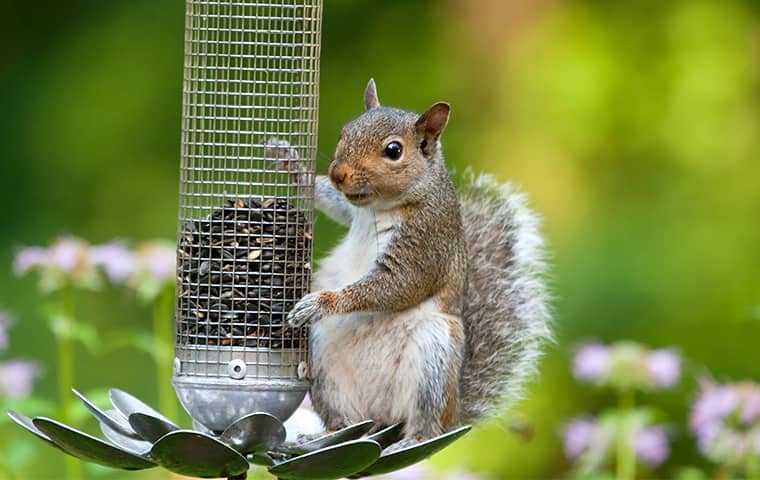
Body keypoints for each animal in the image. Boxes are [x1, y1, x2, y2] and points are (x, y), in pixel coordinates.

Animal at [268, 79, 552, 442]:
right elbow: (334, 202)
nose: (338, 174)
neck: (380, 206)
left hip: (434, 354)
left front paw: (322, 302)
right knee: (346, 421)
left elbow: (397, 285)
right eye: (345, 132)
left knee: (425, 424)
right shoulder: (351, 209)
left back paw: (407, 440)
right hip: (324, 361)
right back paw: (329, 434)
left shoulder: (425, 244)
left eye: (393, 150)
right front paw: (290, 162)